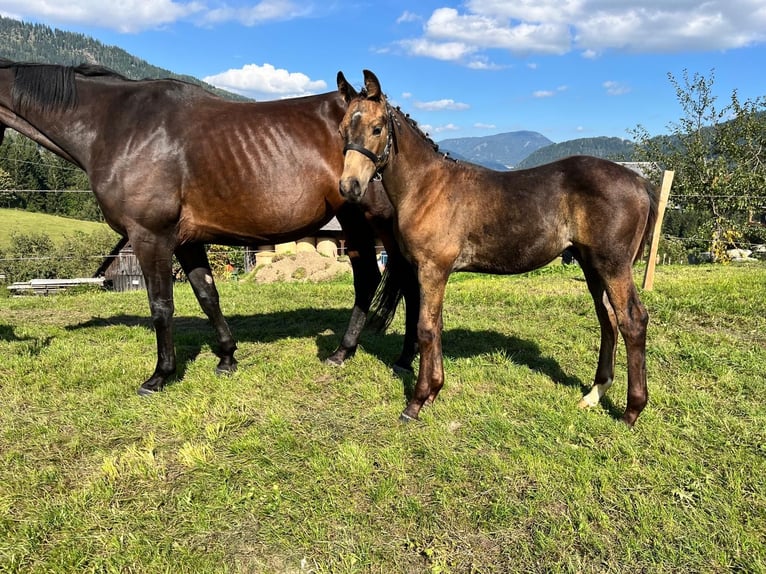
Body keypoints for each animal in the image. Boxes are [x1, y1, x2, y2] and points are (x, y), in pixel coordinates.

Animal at [0, 60, 420, 398]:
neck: (118, 126)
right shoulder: (186, 241)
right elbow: (207, 295)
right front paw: (227, 357)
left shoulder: (150, 236)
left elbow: (161, 306)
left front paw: (160, 375)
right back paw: (369, 353)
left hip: (369, 221)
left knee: (391, 280)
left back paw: (377, 354)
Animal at [338, 71, 660, 428]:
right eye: (341, 129)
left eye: (377, 128)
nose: (349, 187)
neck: (427, 187)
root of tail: (640, 181)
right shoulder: (434, 273)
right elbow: (436, 326)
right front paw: (434, 392)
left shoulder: (432, 269)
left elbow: (425, 329)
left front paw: (416, 402)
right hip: (592, 265)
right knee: (608, 318)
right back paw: (594, 394)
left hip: (613, 265)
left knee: (632, 320)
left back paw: (631, 411)